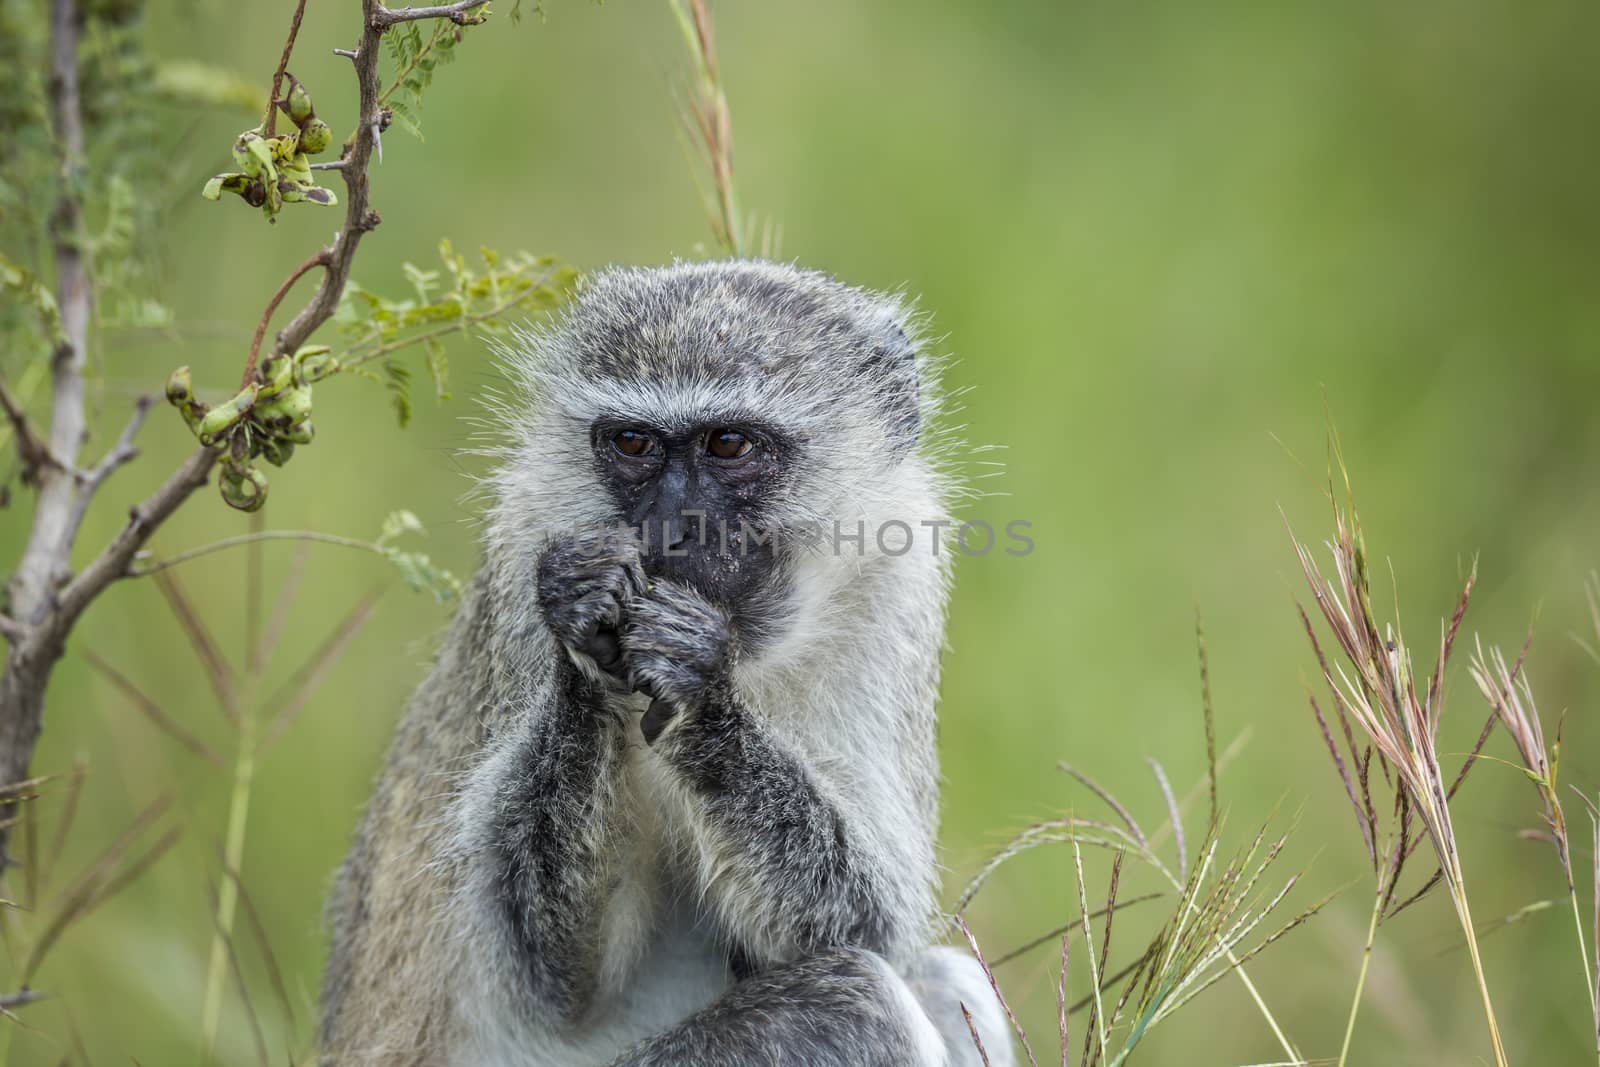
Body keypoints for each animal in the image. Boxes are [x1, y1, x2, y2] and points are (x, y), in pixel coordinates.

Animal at [318, 260, 1011, 1067]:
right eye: (631, 442)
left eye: (730, 444)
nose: (671, 529)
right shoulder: (525, 551)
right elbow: (555, 980)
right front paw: (587, 622)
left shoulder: (898, 580)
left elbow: (870, 919)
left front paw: (696, 688)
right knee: (858, 1001)